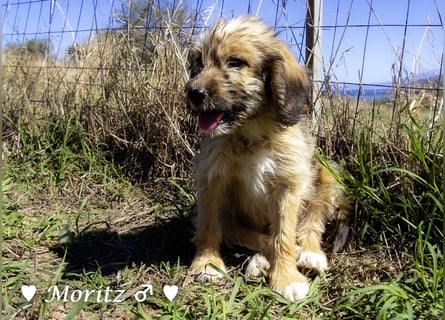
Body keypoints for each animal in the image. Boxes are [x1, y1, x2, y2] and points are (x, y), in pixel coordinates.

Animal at [185, 16, 350, 302]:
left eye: (236, 62)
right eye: (198, 63)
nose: (193, 93)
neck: (252, 131)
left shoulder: (289, 184)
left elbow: (284, 234)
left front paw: (286, 277)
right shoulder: (211, 176)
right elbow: (209, 224)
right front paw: (207, 263)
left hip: (327, 173)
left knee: (309, 225)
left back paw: (309, 253)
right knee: (240, 231)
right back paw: (262, 259)